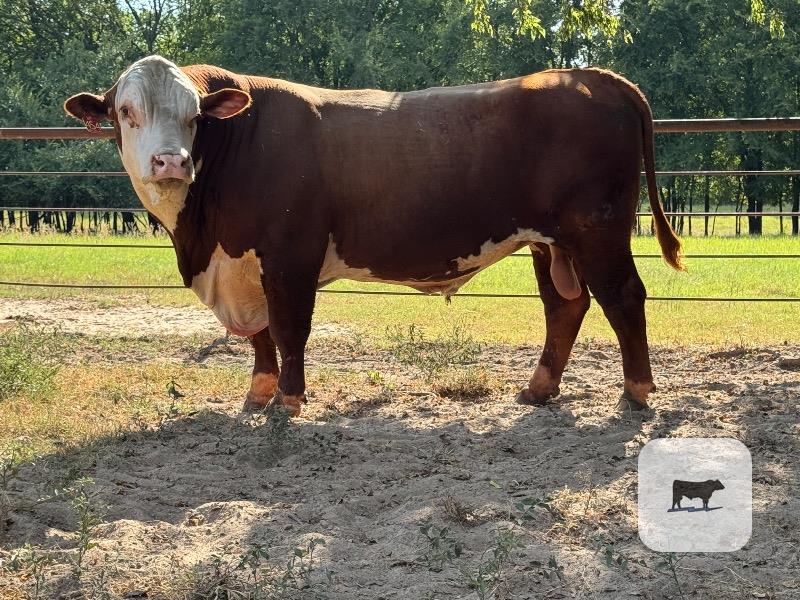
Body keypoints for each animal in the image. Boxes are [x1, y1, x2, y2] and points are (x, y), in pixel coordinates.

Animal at [64, 55, 684, 417]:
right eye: (126, 110)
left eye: (195, 116)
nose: (170, 162)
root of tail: (591, 76)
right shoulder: (242, 266)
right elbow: (260, 335)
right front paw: (258, 393)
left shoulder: (290, 255)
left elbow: (288, 328)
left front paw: (288, 400)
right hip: (551, 241)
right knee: (566, 306)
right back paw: (539, 388)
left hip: (597, 229)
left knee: (622, 297)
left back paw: (637, 391)